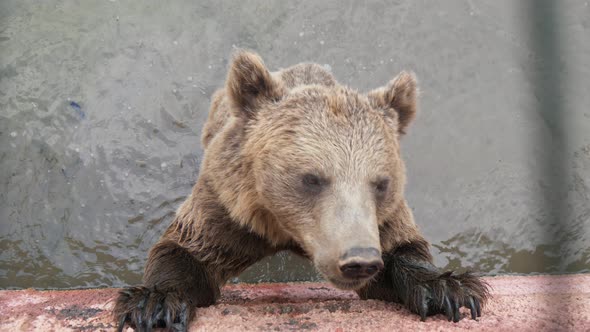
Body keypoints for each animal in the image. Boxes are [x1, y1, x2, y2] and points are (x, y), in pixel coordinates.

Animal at [114, 50, 490, 330]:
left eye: (381, 183)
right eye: (312, 178)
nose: (359, 261)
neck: (287, 231)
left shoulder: (381, 220)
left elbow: (402, 249)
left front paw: (448, 289)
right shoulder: (228, 209)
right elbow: (186, 250)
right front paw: (154, 303)